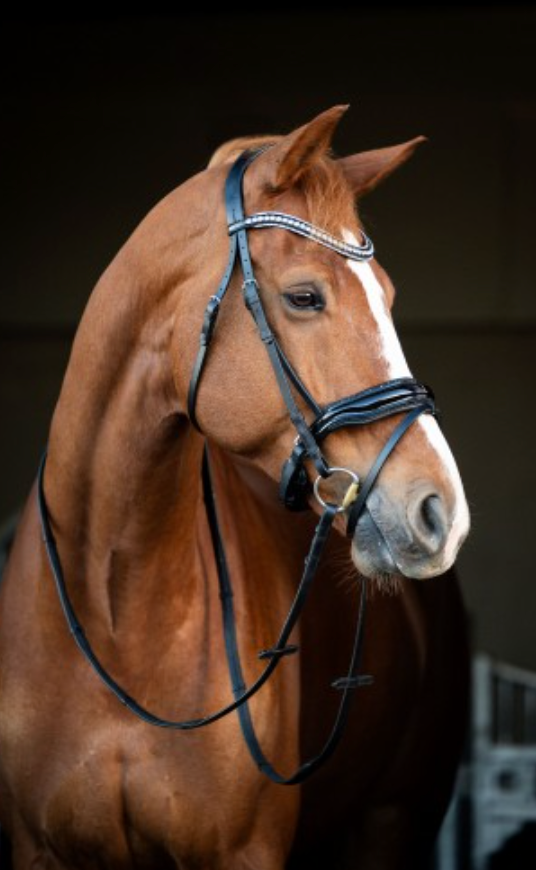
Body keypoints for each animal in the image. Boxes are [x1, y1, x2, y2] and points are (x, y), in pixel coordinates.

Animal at [0, 105, 468, 868]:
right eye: (305, 296)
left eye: (390, 297)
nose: (441, 513)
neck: (115, 609)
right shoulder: (40, 849)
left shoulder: (245, 851)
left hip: (393, 822)